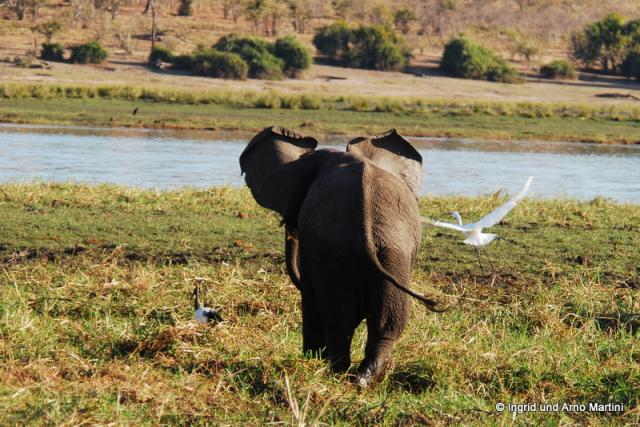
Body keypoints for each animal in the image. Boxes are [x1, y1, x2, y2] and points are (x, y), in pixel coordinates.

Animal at [238, 126, 442, 388]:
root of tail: (365, 224)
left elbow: (311, 298)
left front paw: (311, 357)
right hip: (393, 253)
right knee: (385, 325)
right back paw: (361, 380)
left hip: (337, 253)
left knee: (339, 321)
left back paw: (336, 375)